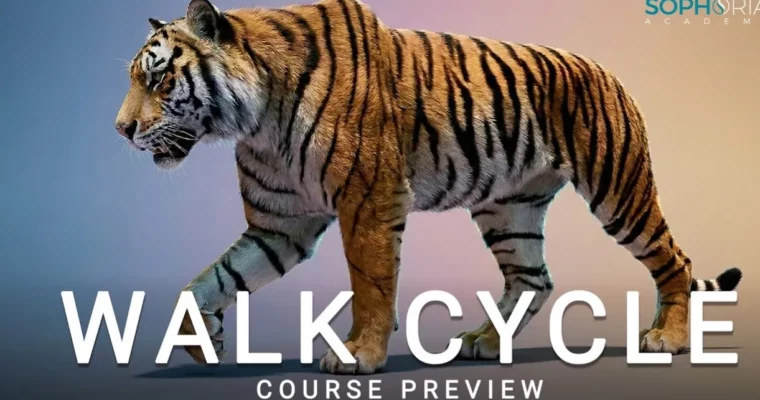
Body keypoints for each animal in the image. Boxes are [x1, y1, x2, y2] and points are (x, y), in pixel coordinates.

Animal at [115, 0, 743, 374]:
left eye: (159, 78)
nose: (121, 130)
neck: (256, 117)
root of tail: (609, 73)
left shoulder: (368, 200)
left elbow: (370, 283)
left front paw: (358, 354)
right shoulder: (279, 224)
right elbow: (212, 278)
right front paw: (203, 342)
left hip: (618, 187)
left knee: (673, 259)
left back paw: (667, 338)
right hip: (508, 208)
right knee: (533, 278)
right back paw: (486, 343)